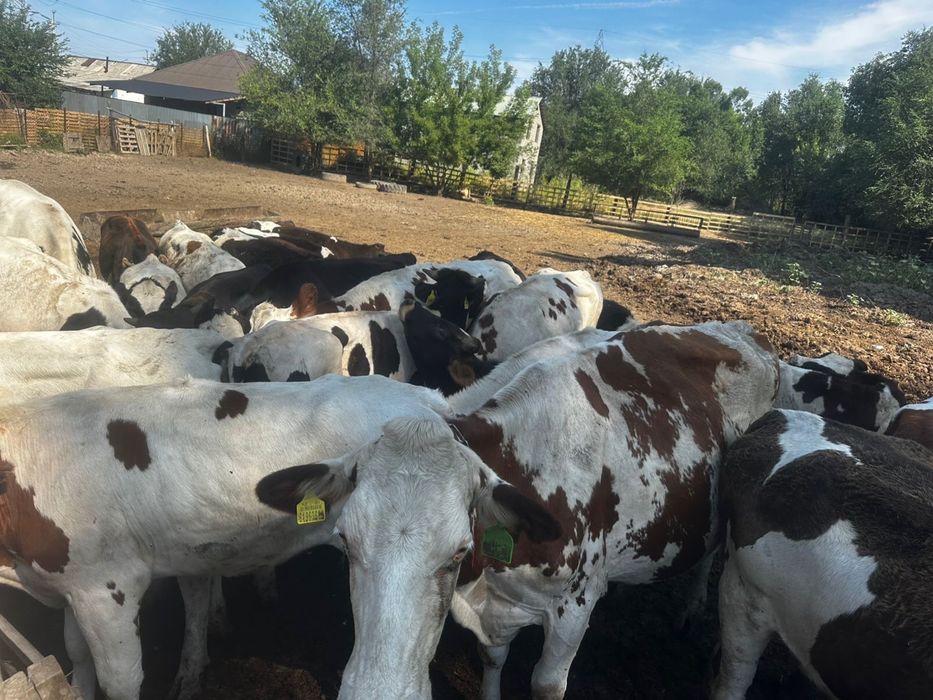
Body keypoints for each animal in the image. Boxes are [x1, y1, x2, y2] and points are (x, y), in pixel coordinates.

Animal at [257, 320, 779, 699]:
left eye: (457, 550)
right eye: (345, 542)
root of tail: (743, 330)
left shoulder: (575, 605)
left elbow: (546, 684)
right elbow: (493, 660)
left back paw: (691, 610)